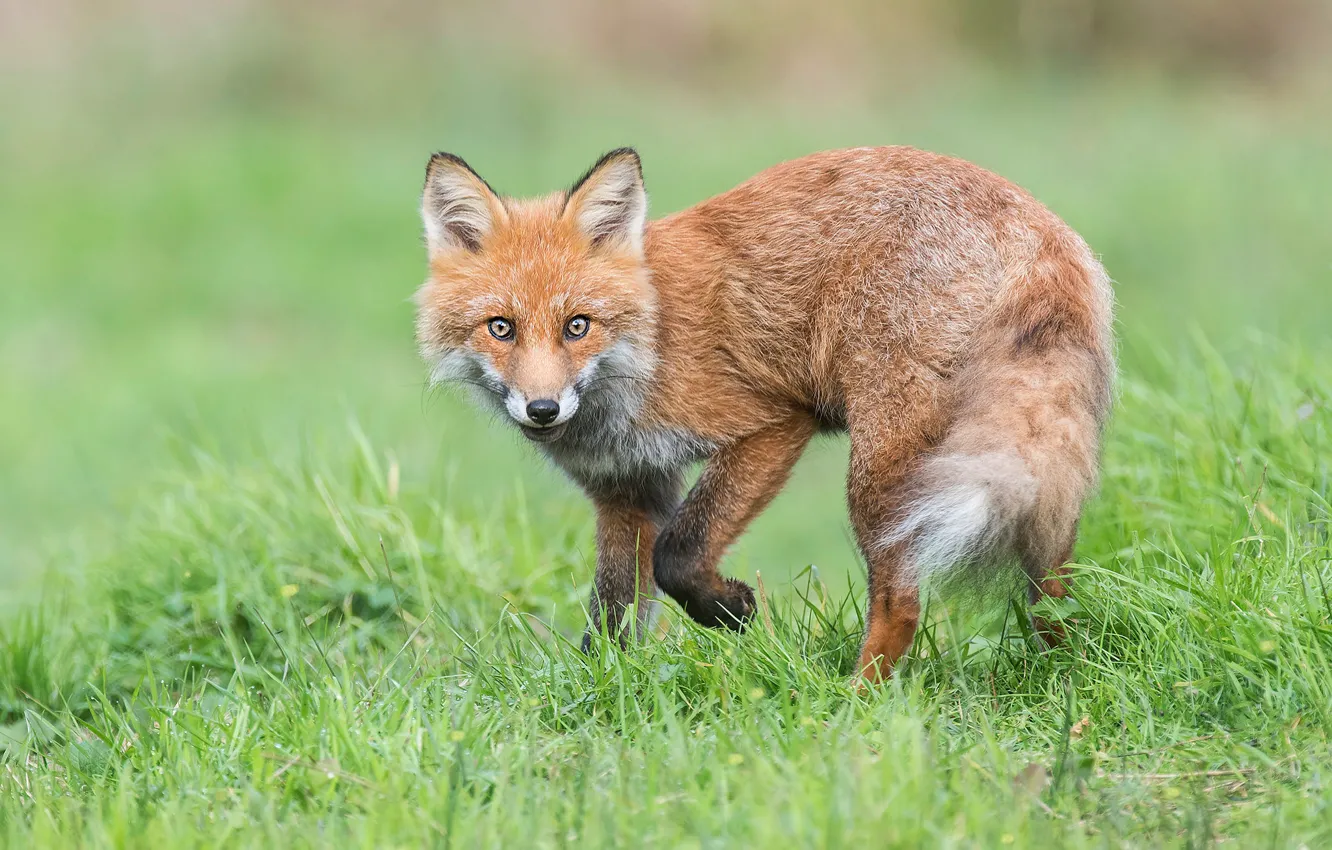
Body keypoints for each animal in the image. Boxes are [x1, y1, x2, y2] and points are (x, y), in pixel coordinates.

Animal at [414, 146, 1114, 682]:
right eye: (500, 327)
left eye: (577, 325)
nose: (542, 409)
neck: (648, 347)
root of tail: (1038, 226)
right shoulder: (627, 492)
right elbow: (611, 621)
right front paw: (603, 698)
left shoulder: (773, 424)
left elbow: (680, 553)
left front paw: (729, 610)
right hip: (1027, 475)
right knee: (1054, 584)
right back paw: (1061, 673)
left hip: (883, 472)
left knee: (902, 602)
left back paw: (857, 701)